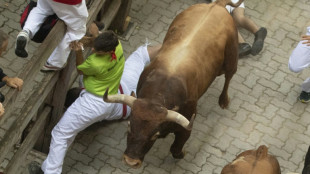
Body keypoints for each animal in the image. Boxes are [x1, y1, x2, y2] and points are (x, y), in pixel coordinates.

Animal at [103, 0, 241, 169]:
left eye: (154, 135)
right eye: (129, 126)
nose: (131, 161)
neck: (160, 90)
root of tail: (217, 5)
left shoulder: (186, 127)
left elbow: (175, 148)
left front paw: (181, 153)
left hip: (232, 58)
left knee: (229, 76)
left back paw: (223, 101)